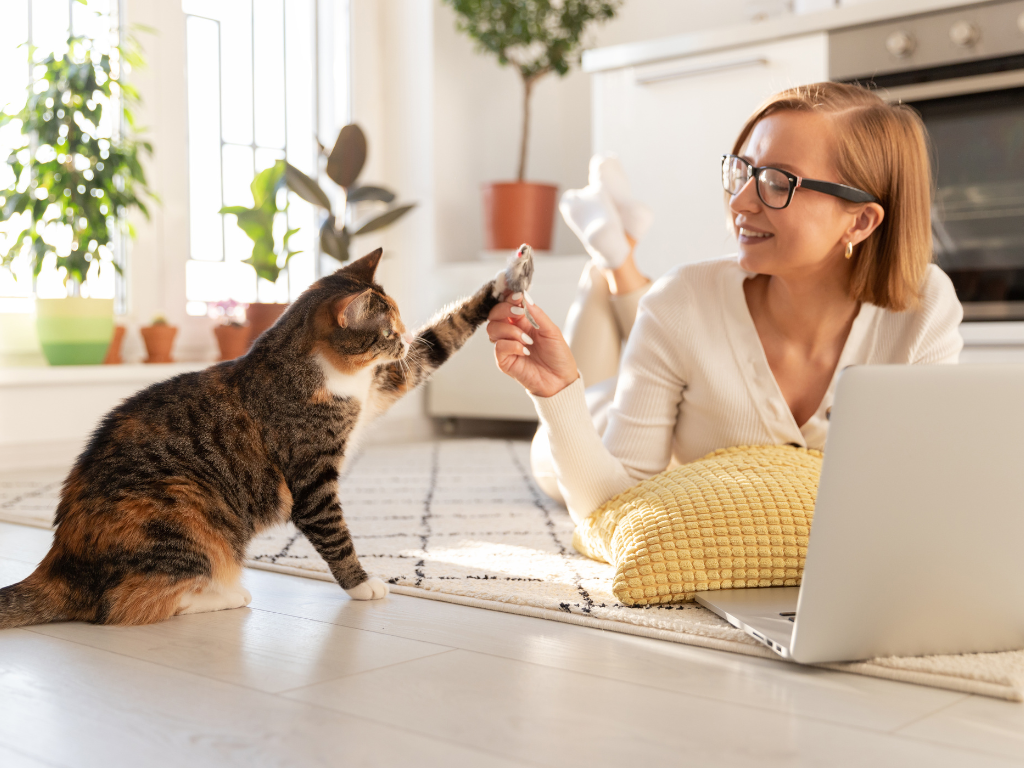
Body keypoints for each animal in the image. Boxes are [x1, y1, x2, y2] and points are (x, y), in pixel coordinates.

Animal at [0, 249, 503, 626]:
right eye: (387, 331)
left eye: (400, 328)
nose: (403, 341)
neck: (329, 374)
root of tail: (60, 563)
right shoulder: (312, 477)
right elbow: (336, 534)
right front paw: (362, 584)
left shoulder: (382, 384)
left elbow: (441, 340)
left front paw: (505, 283)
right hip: (182, 504)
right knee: (121, 607)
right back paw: (226, 594)